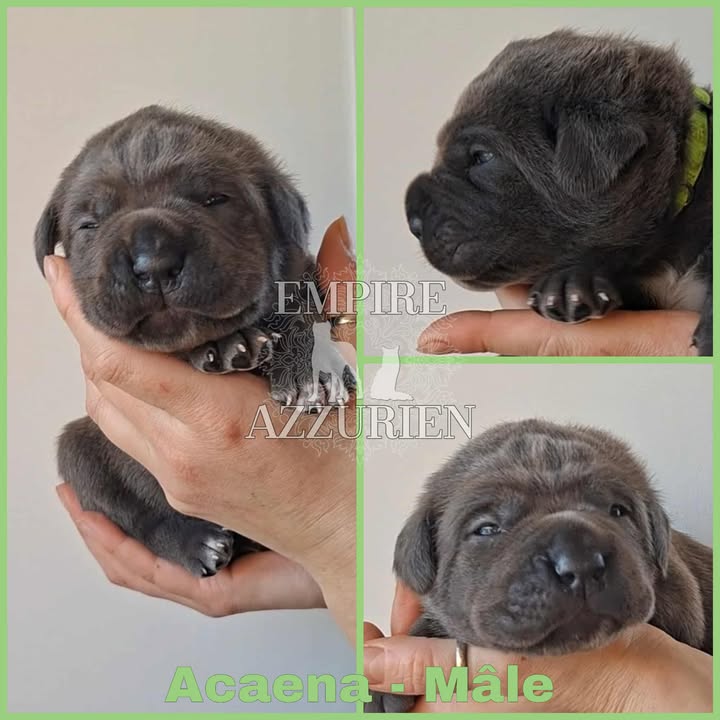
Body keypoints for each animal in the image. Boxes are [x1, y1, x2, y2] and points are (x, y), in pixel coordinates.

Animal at [35, 105, 355, 576]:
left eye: (214, 200)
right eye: (90, 224)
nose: (152, 260)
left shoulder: (302, 269)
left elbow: (301, 300)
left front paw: (312, 369)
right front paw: (227, 346)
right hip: (81, 447)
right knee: (138, 513)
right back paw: (195, 542)